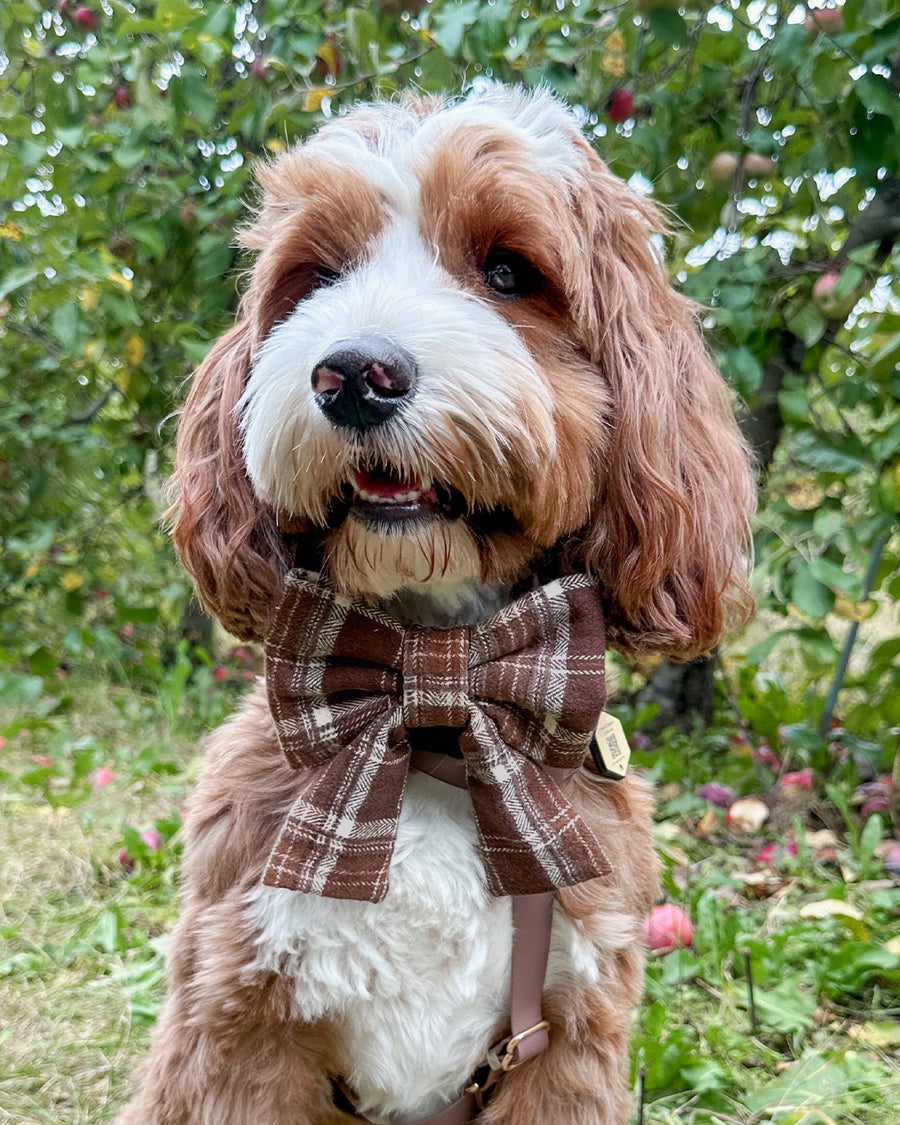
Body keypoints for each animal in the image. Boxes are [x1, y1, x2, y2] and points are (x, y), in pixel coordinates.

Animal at [119, 83, 751, 1120]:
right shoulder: (238, 1020)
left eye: (507, 271)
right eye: (318, 276)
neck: (432, 722)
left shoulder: (566, 1036)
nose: (353, 373)